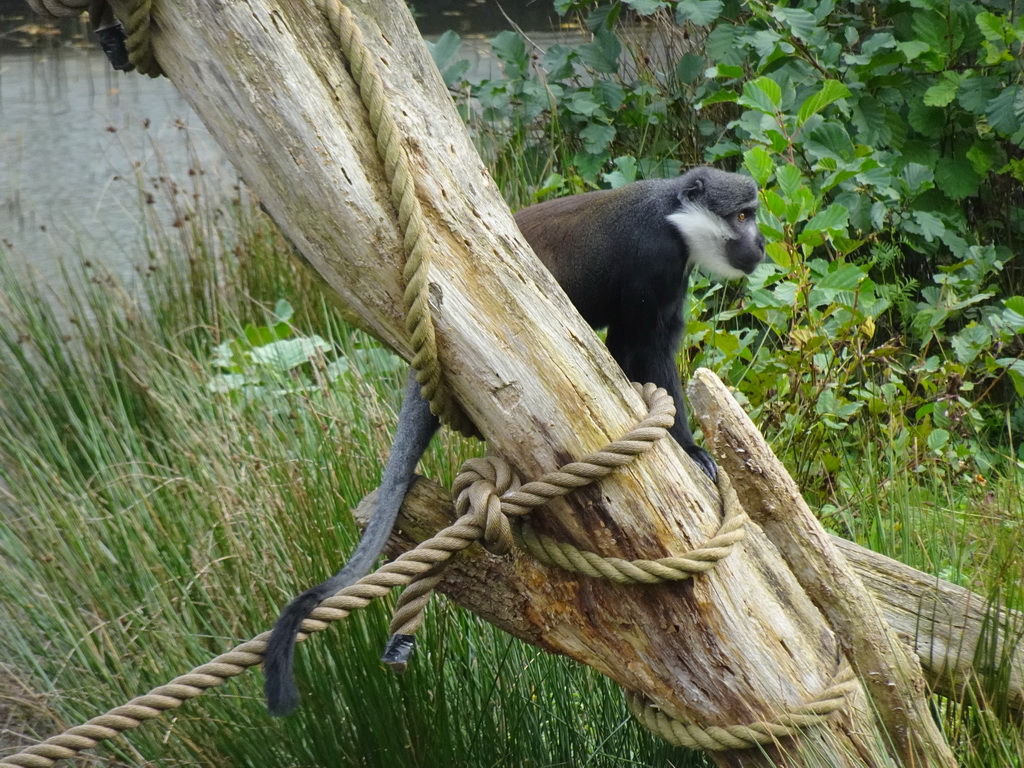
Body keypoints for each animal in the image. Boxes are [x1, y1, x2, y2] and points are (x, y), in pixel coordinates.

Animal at [262, 165, 761, 720]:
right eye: (742, 216)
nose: (760, 244)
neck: (674, 215)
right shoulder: (655, 261)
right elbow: (638, 347)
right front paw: (689, 449)